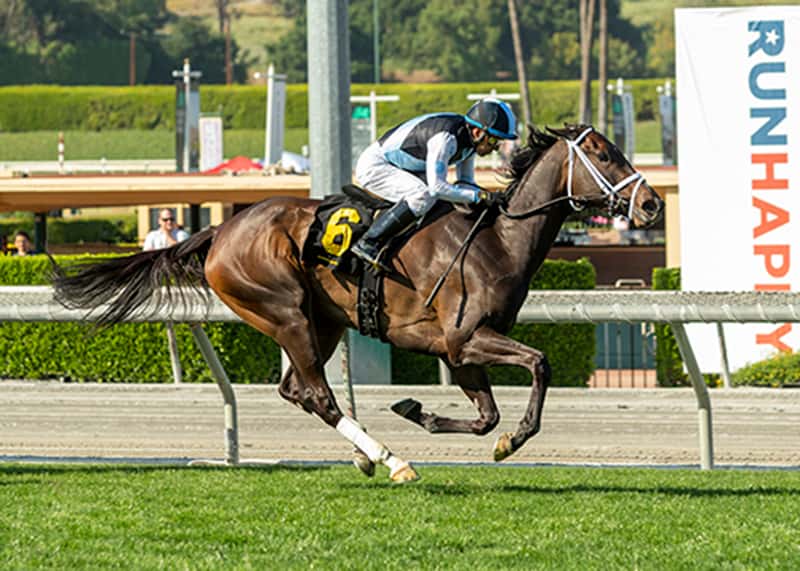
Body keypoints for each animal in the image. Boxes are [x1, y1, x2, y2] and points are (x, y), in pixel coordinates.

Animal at [54, 125, 664, 482]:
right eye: (603, 153)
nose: (653, 204)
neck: (498, 240)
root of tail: (220, 231)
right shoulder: (466, 338)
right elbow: (540, 363)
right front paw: (512, 439)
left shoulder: (459, 350)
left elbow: (486, 416)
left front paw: (419, 411)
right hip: (286, 312)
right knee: (319, 396)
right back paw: (392, 460)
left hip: (321, 322)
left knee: (297, 390)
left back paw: (367, 452)